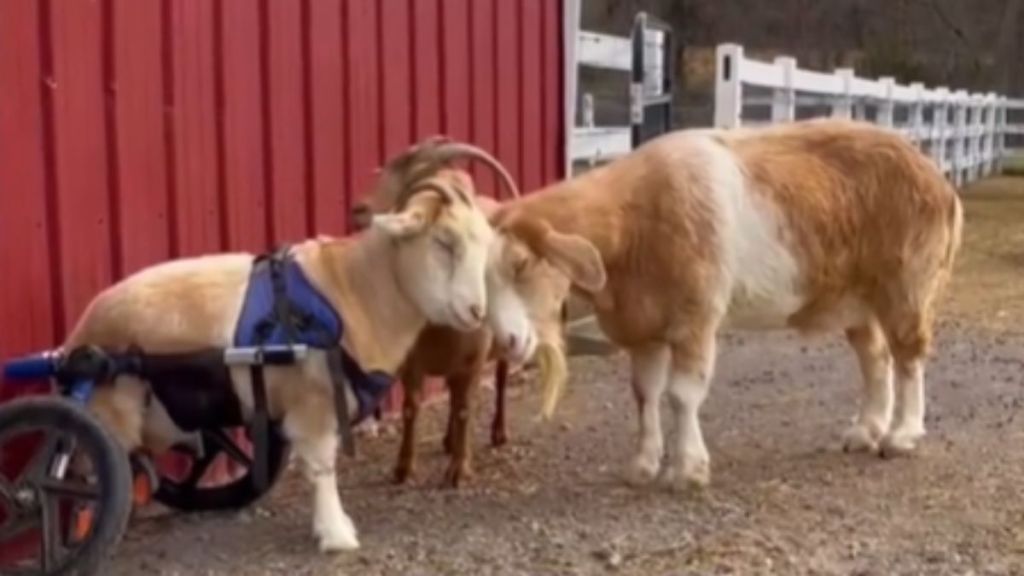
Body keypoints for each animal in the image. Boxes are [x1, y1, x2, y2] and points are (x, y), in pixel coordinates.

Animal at [62, 171, 495, 553]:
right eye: (443, 241)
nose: (477, 311)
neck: (352, 289)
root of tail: (81, 333)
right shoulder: (313, 401)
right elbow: (322, 468)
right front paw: (336, 535)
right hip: (109, 409)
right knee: (88, 472)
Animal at [411, 118, 962, 491]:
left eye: (524, 263)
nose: (507, 340)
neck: (633, 225)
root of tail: (939, 179)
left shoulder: (697, 317)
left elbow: (681, 394)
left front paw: (687, 470)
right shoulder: (643, 326)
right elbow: (646, 395)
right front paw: (643, 465)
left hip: (906, 283)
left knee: (910, 356)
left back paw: (902, 436)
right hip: (856, 300)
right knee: (875, 358)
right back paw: (865, 431)